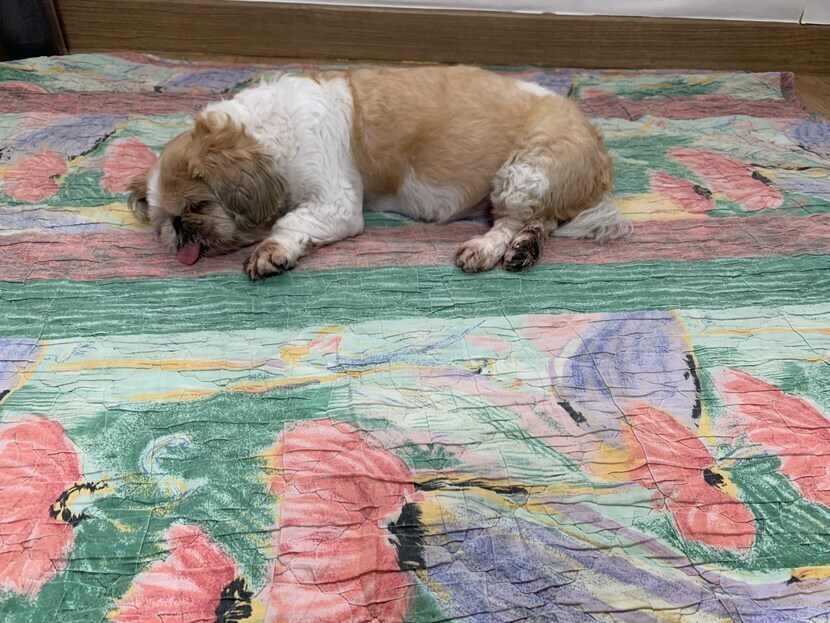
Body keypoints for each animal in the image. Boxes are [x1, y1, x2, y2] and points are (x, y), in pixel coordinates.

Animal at [127, 65, 630, 279]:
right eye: (162, 220)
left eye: (198, 205)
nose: (178, 230)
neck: (266, 136)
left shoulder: (336, 202)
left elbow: (289, 221)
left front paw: (272, 251)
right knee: (541, 222)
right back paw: (525, 248)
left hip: (524, 173)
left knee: (513, 220)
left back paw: (489, 248)